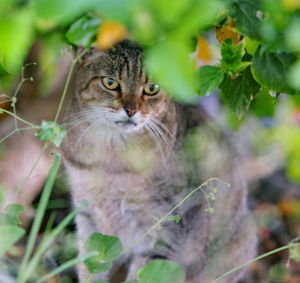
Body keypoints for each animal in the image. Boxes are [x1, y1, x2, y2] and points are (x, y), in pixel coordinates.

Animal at [60, 40, 255, 283]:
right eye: (110, 82)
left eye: (152, 88)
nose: (131, 110)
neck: (112, 161)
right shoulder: (89, 215)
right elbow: (91, 265)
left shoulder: (167, 226)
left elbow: (146, 272)